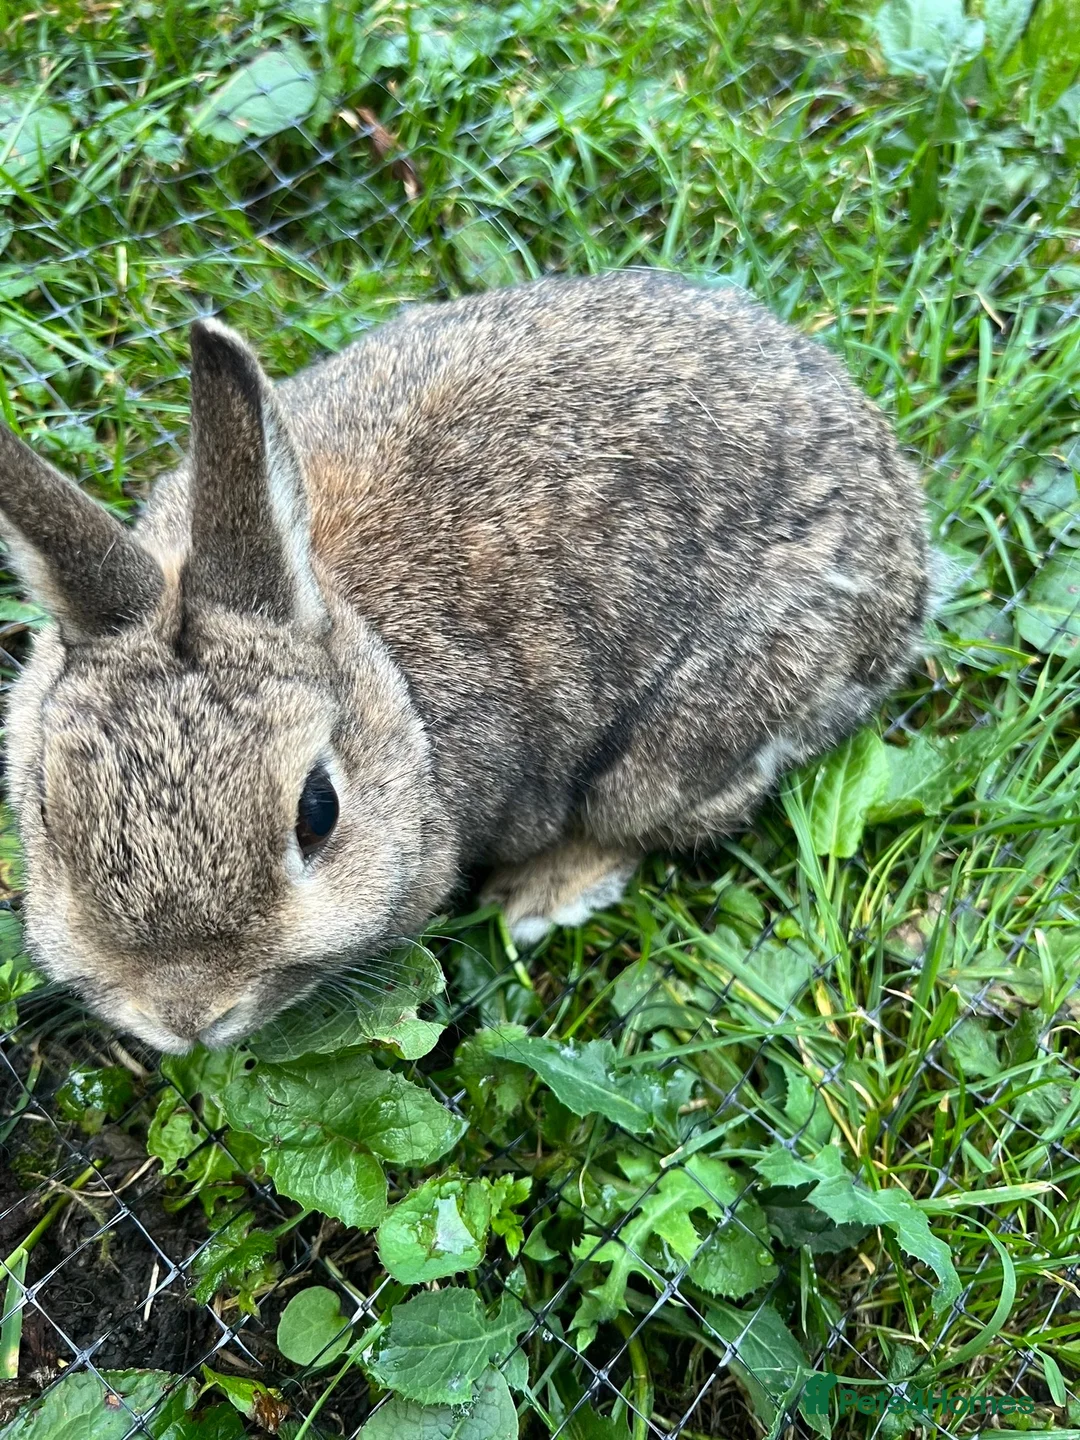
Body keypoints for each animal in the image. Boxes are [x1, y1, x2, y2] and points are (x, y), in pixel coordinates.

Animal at [0, 270, 929, 1054]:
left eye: (318, 813)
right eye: (45, 811)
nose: (187, 1014)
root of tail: (907, 553)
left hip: (695, 734)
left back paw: (540, 896)